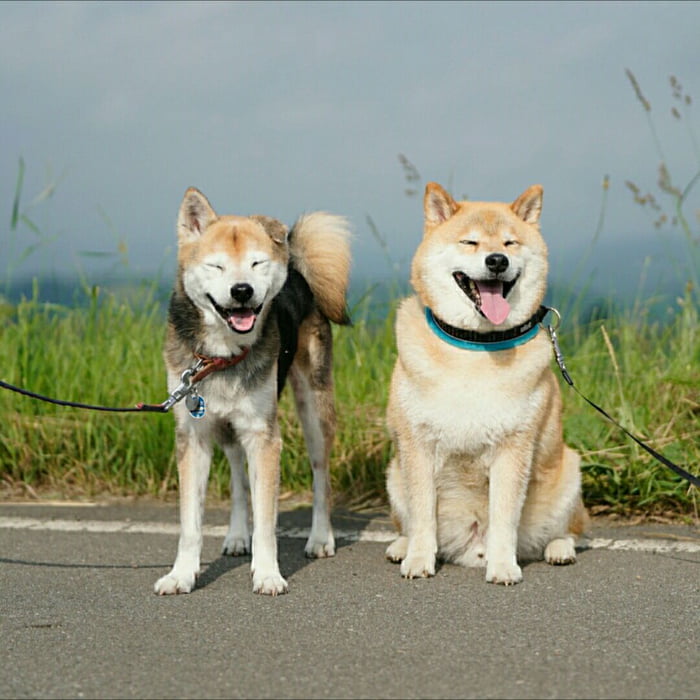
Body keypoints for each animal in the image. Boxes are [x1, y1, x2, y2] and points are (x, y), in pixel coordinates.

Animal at [153, 187, 350, 596]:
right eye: (216, 266)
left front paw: (268, 574)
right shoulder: (193, 435)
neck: (220, 356)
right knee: (238, 479)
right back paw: (236, 536)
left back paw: (320, 538)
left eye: (257, 263)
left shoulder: (264, 436)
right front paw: (181, 574)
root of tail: (297, 273)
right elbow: (191, 524)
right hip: (228, 429)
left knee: (320, 475)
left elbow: (267, 521)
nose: (241, 290)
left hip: (314, 408)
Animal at [386, 182, 588, 584]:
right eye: (470, 242)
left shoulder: (513, 448)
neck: (475, 347)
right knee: (409, 521)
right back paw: (401, 546)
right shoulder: (417, 446)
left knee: (569, 530)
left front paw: (503, 566)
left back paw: (559, 549)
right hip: (394, 474)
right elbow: (421, 515)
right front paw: (418, 559)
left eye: (510, 243)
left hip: (569, 472)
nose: (497, 261)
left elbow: (504, 518)